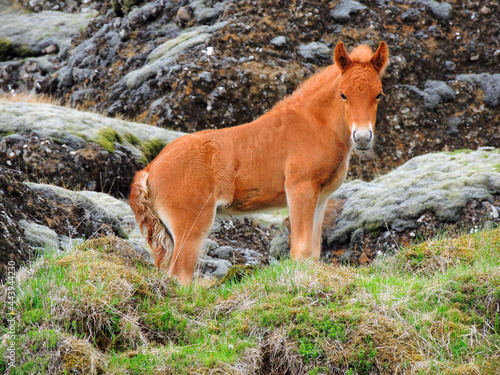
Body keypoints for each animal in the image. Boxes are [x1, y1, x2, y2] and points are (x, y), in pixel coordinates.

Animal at [131, 41, 388, 284]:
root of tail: (150, 169)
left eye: (378, 95)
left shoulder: (321, 198)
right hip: (191, 227)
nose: (362, 137)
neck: (316, 124)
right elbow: (301, 251)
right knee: (180, 275)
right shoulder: (300, 189)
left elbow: (313, 253)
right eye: (343, 94)